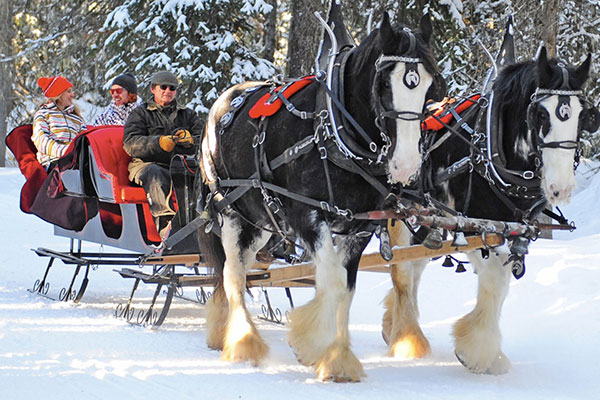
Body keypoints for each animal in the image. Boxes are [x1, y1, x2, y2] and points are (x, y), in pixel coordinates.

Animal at [198, 12, 446, 382]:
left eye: (431, 87)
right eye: (384, 85)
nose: (405, 165)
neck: (335, 134)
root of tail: (224, 100)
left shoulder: (359, 228)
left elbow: (346, 289)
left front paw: (337, 359)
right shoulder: (309, 217)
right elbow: (331, 281)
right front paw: (312, 343)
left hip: (261, 224)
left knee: (239, 269)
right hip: (230, 213)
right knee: (232, 275)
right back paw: (244, 343)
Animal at [384, 47, 600, 376]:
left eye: (583, 116)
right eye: (540, 114)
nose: (560, 187)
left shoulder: (515, 228)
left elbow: (504, 279)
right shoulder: (478, 225)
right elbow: (495, 279)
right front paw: (477, 351)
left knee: (415, 263)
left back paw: (392, 324)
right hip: (401, 212)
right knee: (402, 269)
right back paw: (407, 338)